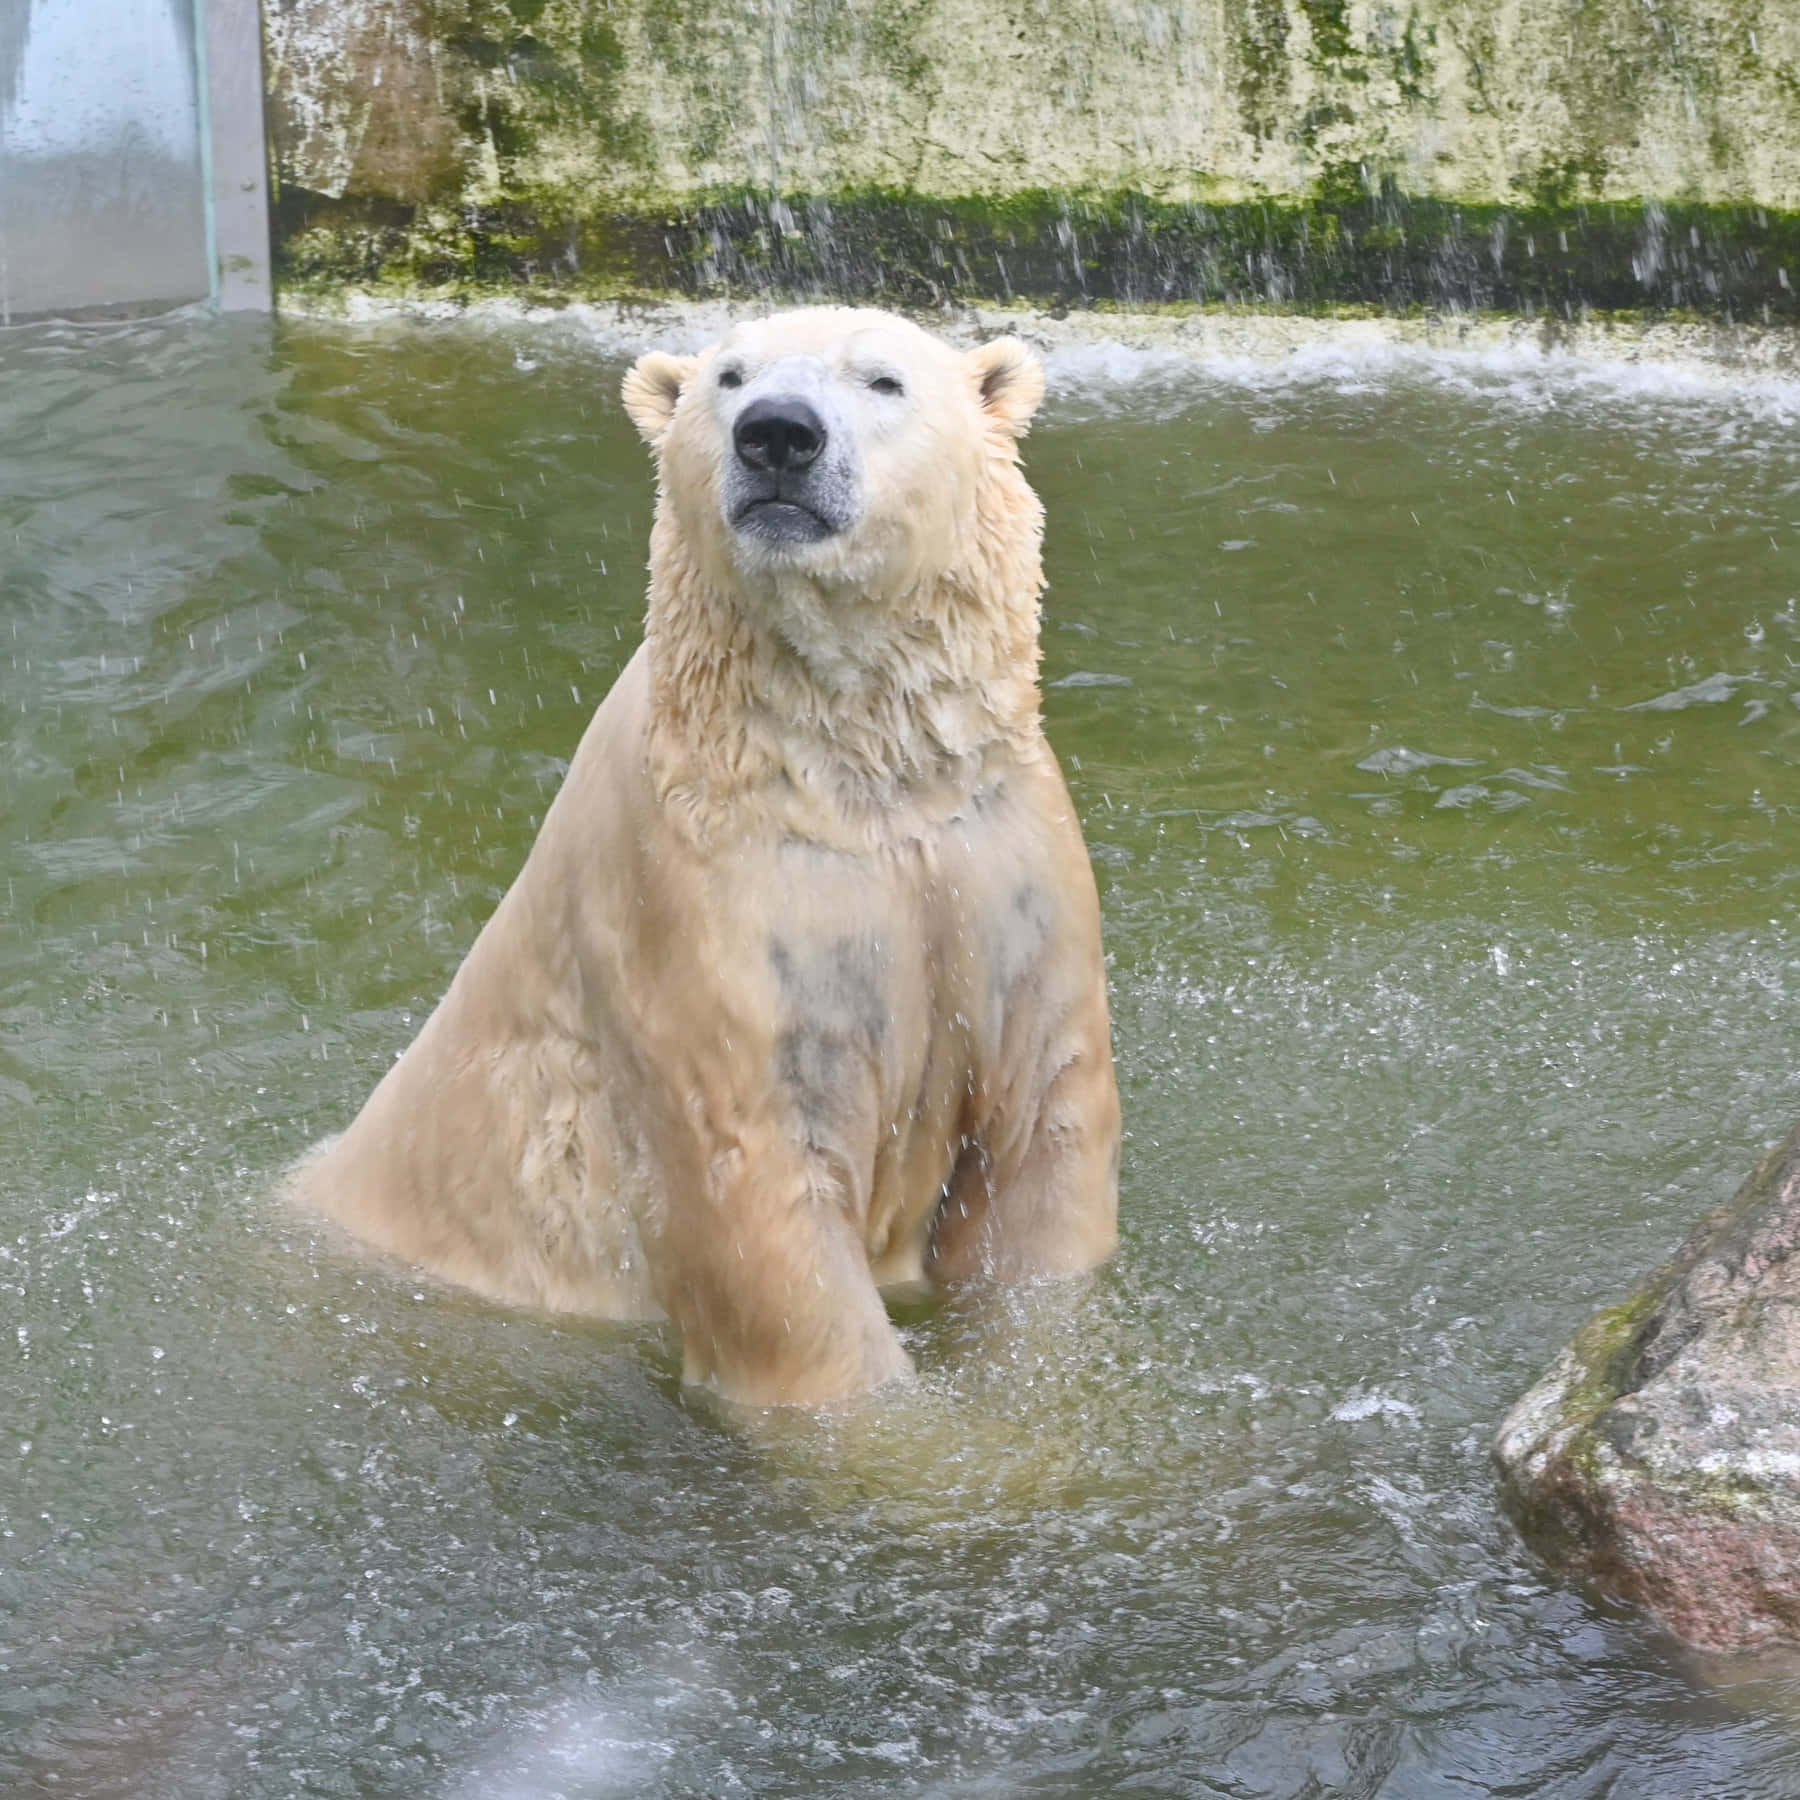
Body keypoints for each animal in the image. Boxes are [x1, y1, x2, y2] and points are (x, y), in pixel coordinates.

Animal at [292, 307, 1121, 1407]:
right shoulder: (698, 905)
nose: (778, 434)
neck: (850, 769)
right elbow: (762, 1206)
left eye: (884, 379)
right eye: (729, 376)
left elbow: (1041, 1137)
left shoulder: (1000, 859)